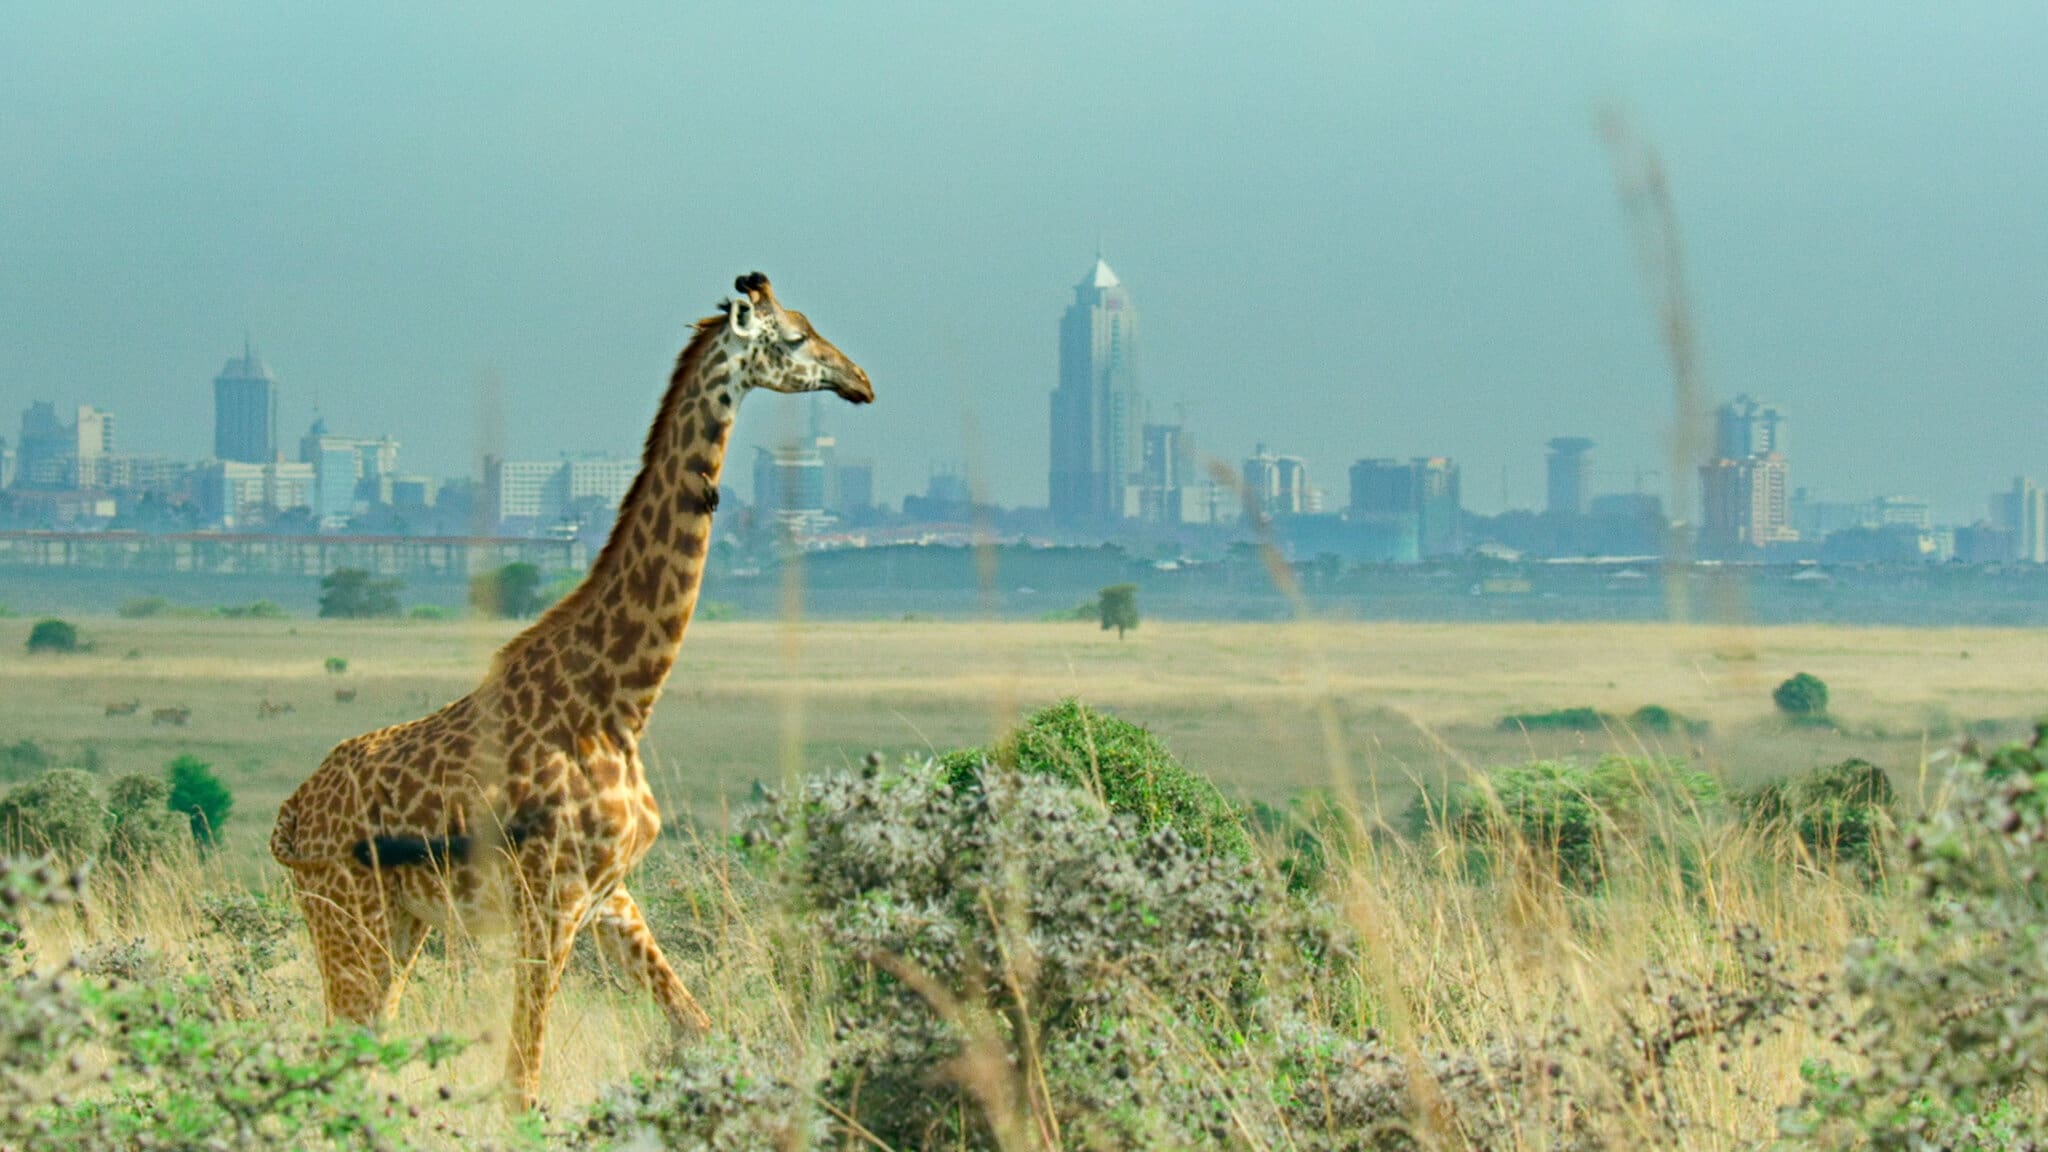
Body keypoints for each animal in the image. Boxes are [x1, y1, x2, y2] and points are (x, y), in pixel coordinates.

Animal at [266, 268, 872, 1106]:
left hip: (397, 922)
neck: (619, 703)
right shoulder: (548, 899)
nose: (861, 381)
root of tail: (289, 817)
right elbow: (521, 1080)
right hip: (346, 916)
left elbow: (696, 1026)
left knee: (359, 1048)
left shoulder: (608, 893)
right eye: (794, 337)